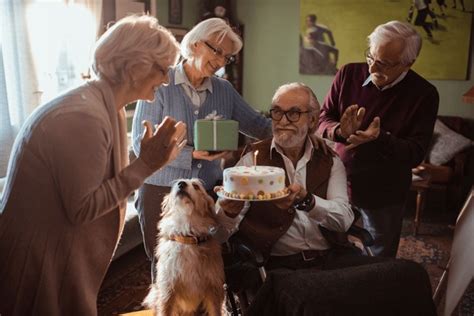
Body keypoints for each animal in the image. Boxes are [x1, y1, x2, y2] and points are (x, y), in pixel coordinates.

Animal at [143, 179, 225, 314]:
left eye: (196, 186)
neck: (187, 237)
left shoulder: (213, 289)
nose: (181, 183)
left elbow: (215, 311)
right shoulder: (167, 291)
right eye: (174, 185)